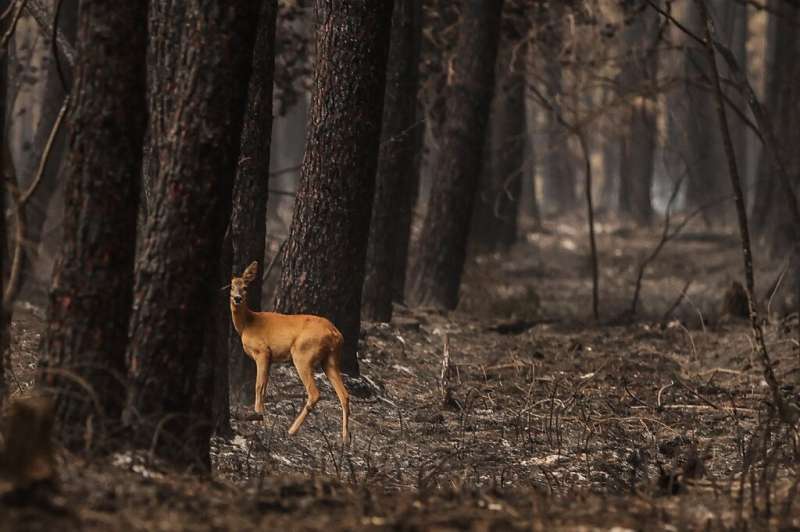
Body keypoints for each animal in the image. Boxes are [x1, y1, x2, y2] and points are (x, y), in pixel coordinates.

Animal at [227, 260, 348, 440]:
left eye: (245, 287)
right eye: (231, 286)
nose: (237, 298)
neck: (247, 324)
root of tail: (335, 333)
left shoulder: (262, 351)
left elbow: (258, 386)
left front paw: (258, 418)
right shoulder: (270, 357)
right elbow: (264, 386)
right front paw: (262, 417)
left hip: (303, 354)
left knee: (315, 393)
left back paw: (292, 430)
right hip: (331, 359)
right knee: (344, 394)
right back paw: (346, 439)